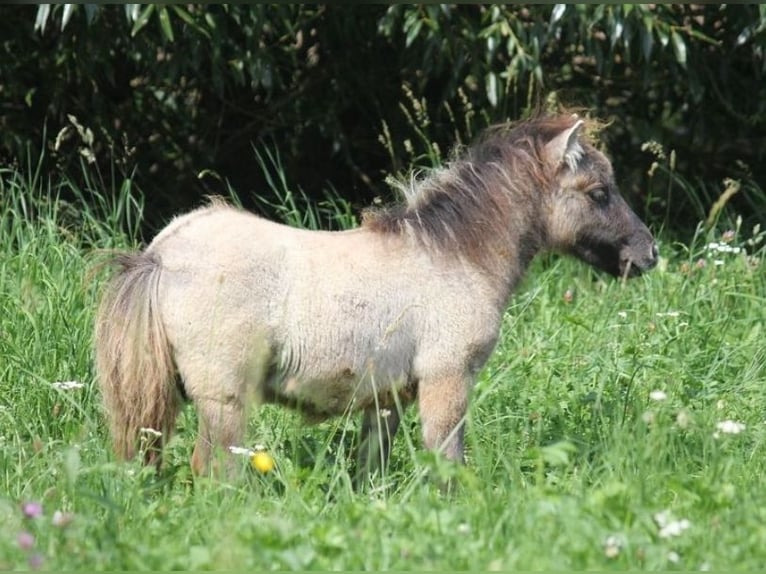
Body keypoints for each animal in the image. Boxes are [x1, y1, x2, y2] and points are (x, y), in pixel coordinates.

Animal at [94, 112, 660, 482]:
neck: (454, 256)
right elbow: (446, 461)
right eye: (598, 192)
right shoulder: (447, 381)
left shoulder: (383, 401)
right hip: (224, 400)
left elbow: (373, 471)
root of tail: (161, 254)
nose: (649, 252)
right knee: (216, 473)